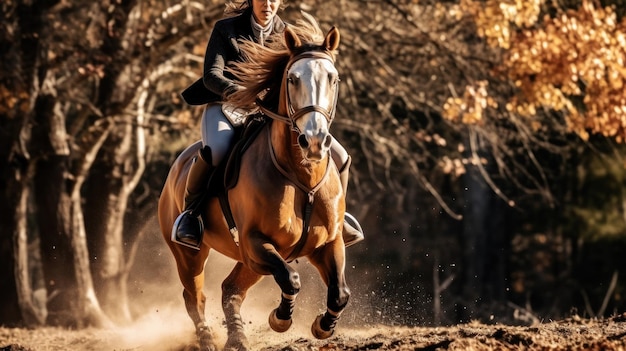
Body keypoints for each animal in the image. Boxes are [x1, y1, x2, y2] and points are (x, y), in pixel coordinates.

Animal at [158, 13, 348, 351]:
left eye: (333, 78)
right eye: (292, 78)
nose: (314, 141)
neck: (301, 178)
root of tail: (177, 165)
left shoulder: (328, 242)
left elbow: (339, 293)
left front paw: (323, 327)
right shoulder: (255, 243)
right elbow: (291, 279)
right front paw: (280, 319)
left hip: (245, 262)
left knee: (229, 290)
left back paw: (237, 338)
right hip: (190, 254)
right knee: (195, 296)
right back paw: (207, 339)